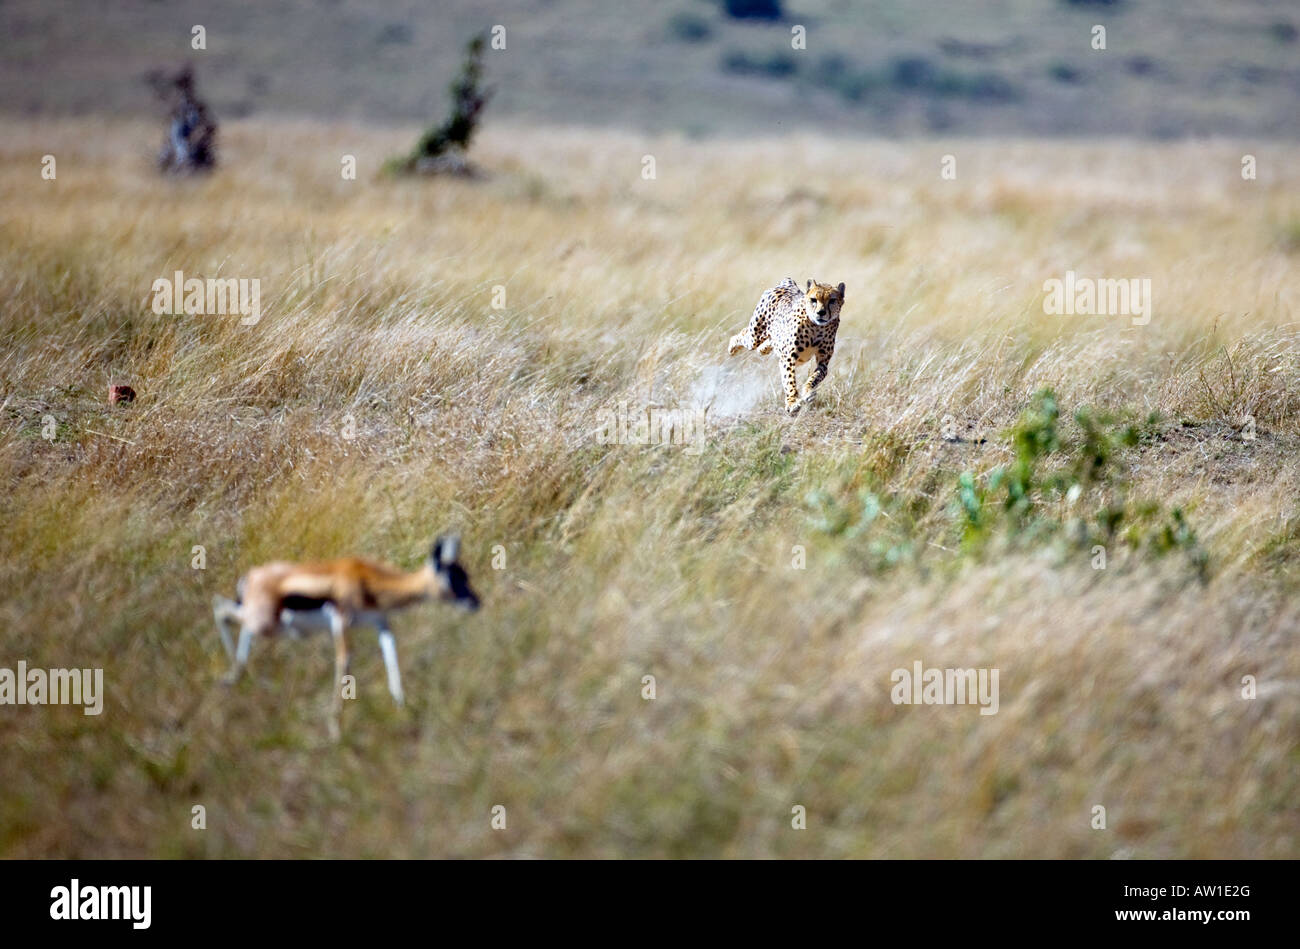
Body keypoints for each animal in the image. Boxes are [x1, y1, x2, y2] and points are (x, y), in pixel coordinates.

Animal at [212, 535, 479, 737]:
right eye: (452, 578)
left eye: (466, 574)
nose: (476, 603)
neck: (367, 580)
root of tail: (250, 577)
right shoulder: (341, 622)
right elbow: (345, 662)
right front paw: (334, 731)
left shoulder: (381, 624)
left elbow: (391, 657)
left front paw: (402, 709)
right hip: (265, 623)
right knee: (221, 610)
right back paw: (232, 677)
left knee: (225, 611)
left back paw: (234, 677)